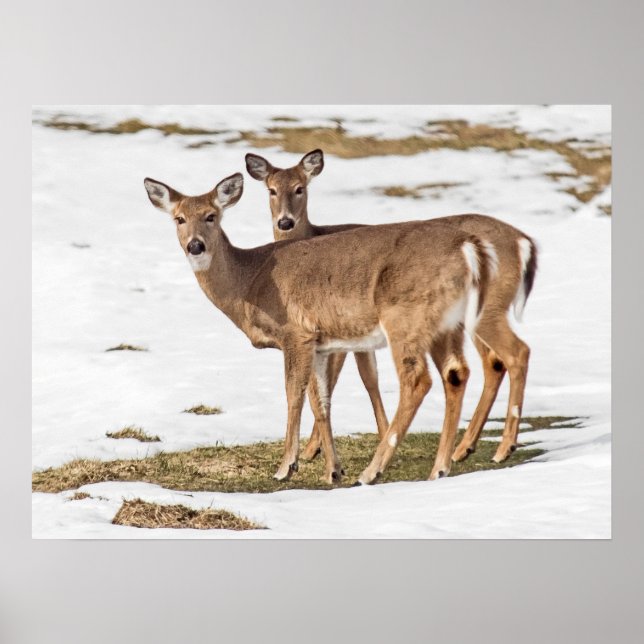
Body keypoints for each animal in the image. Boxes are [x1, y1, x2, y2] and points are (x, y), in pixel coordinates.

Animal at [144, 172, 497, 485]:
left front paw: (286, 466)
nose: (196, 246)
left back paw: (372, 472)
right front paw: (333, 471)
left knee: (418, 380)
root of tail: (467, 250)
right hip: (448, 323)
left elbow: (293, 394)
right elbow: (321, 400)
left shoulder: (295, 333)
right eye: (179, 218)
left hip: (405, 316)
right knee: (456, 372)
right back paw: (439, 468)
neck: (250, 281)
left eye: (211, 216)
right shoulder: (320, 342)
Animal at [245, 149, 538, 465]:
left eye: (300, 188)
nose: (285, 222)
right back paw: (466, 448)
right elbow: (362, 377)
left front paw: (317, 448)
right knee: (492, 361)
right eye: (271, 190)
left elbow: (341, 378)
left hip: (484, 309)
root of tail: (523, 241)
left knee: (509, 355)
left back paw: (499, 448)